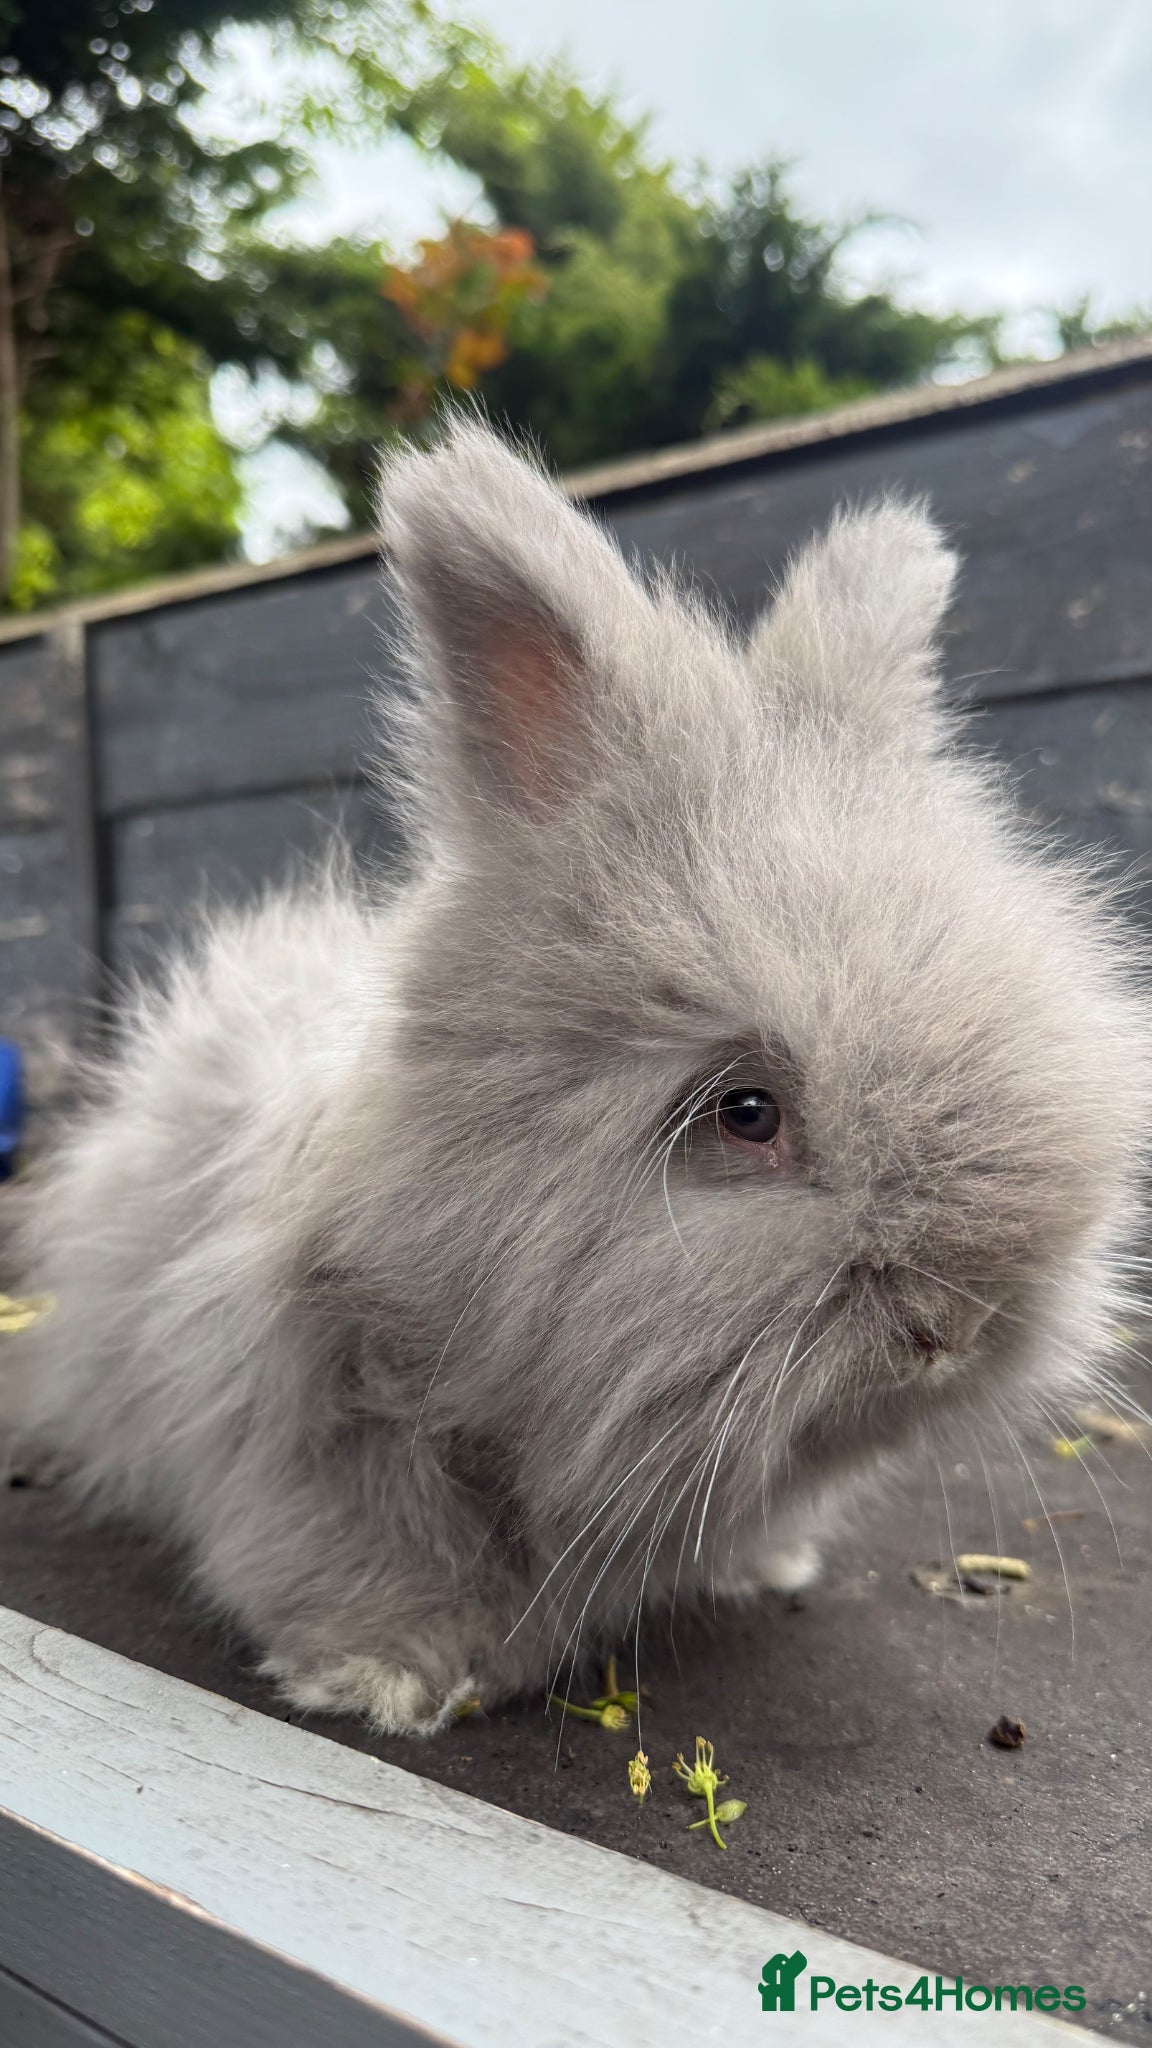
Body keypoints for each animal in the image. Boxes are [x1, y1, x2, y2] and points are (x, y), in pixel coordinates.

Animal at [8, 417, 1150, 1736]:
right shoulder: (306, 1407)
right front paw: (392, 1672)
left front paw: (769, 1563)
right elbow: (363, 1543)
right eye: (747, 1112)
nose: (951, 1327)